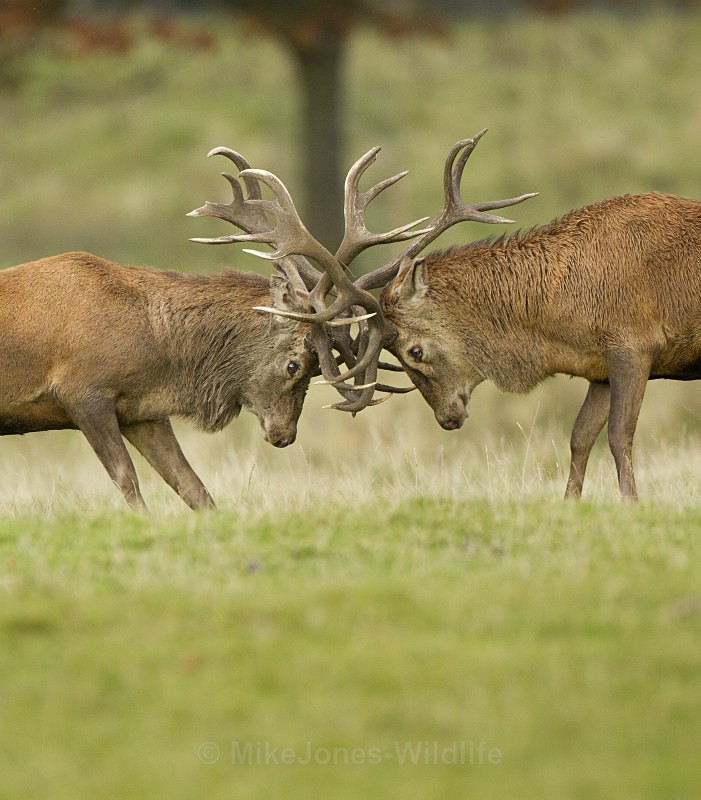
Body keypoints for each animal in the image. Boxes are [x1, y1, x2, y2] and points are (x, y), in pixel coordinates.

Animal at [211, 130, 701, 501]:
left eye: (414, 350)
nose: (448, 419)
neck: (566, 322)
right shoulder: (599, 367)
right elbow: (580, 436)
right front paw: (571, 505)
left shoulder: (634, 344)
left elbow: (620, 434)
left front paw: (631, 504)